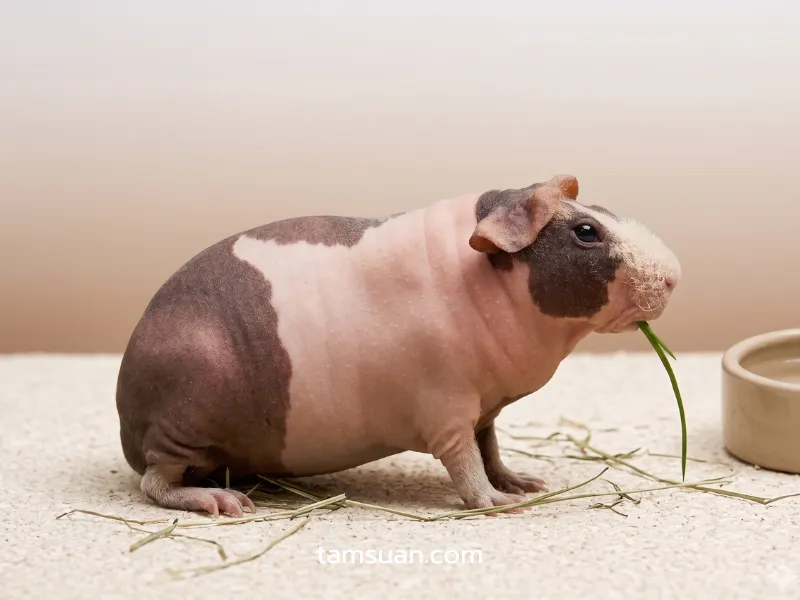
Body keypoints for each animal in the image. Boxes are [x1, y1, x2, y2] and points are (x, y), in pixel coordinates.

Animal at [115, 174, 681, 517]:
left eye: (598, 212)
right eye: (586, 231)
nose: (675, 277)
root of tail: (127, 418)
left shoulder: (485, 411)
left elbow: (491, 450)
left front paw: (526, 484)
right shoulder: (447, 409)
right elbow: (466, 467)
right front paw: (499, 503)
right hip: (183, 420)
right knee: (156, 482)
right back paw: (226, 503)